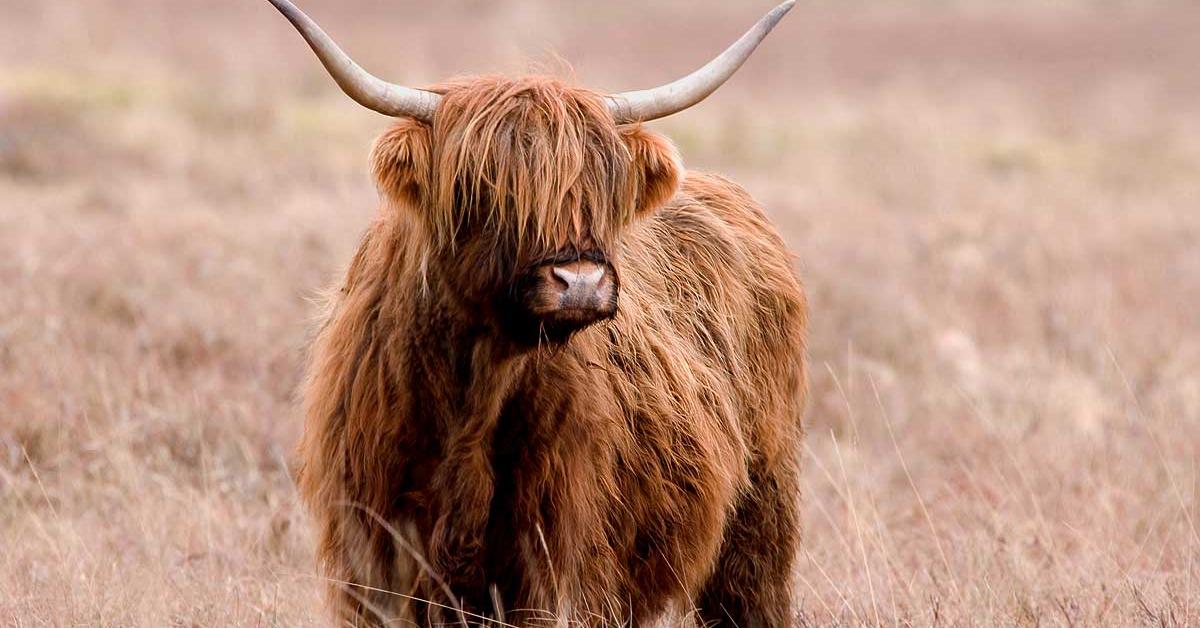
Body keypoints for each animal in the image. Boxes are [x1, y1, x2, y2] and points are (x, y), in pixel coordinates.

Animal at [272, 2, 806, 624]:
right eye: (483, 188)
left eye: (602, 188)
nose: (580, 283)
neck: (474, 394)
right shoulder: (374, 562)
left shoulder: (560, 567)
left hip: (761, 514)